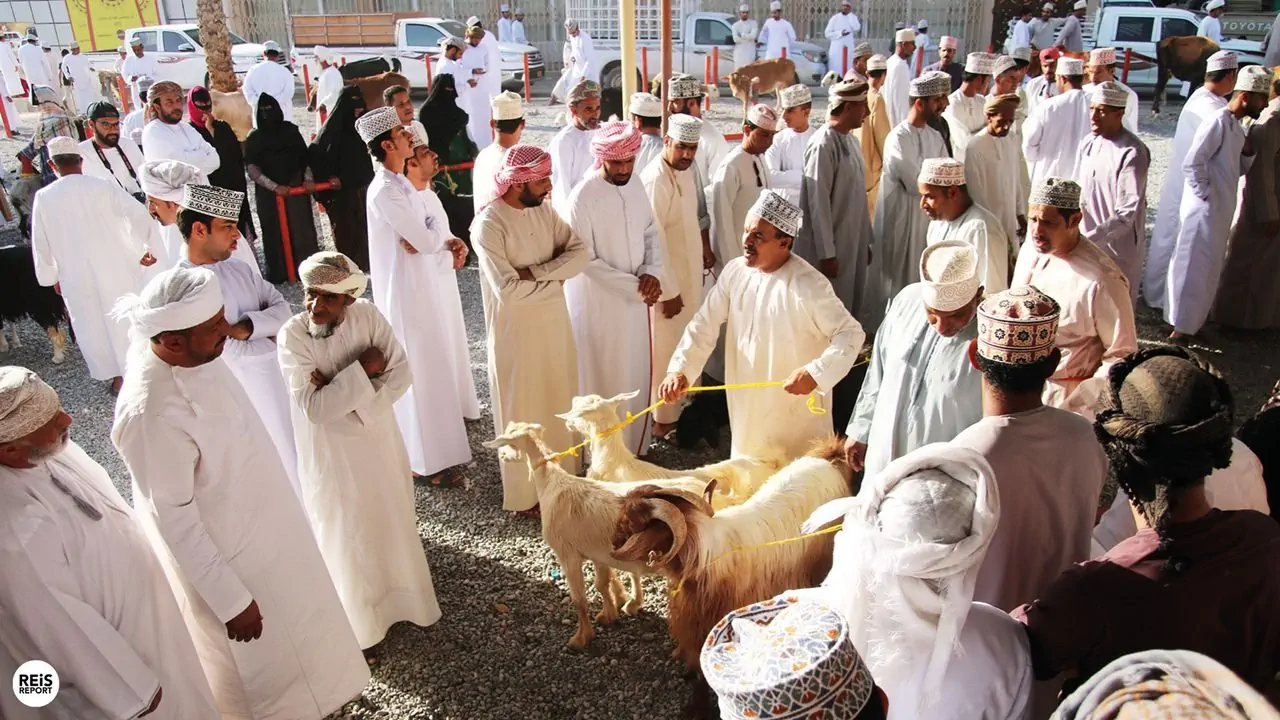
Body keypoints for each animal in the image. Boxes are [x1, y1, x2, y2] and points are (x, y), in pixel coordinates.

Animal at [483, 417, 716, 648]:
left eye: (509, 441)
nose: (502, 456)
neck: (552, 484)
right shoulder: (598, 553)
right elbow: (602, 583)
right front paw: (610, 613)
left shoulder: (567, 554)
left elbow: (579, 598)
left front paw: (581, 638)